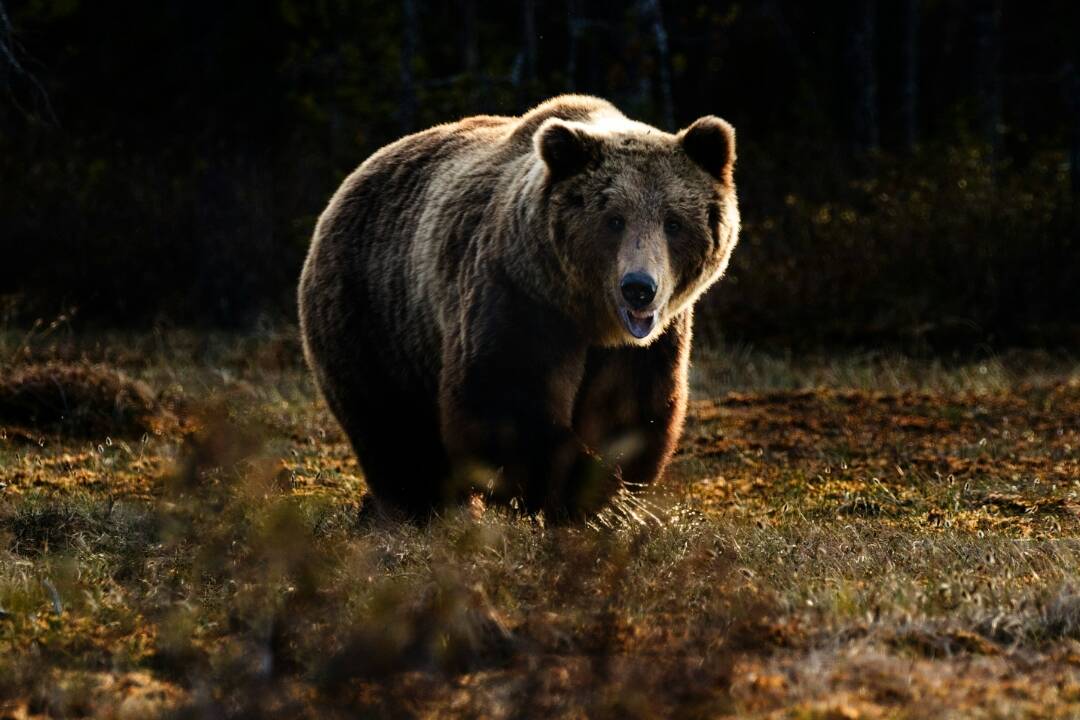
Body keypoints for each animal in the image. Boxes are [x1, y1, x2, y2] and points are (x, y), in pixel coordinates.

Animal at [300, 95, 738, 520]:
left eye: (673, 222)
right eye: (614, 219)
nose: (639, 289)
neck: (588, 315)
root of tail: (349, 181)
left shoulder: (649, 343)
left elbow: (630, 410)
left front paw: (609, 497)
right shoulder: (518, 297)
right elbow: (504, 401)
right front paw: (578, 491)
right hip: (374, 313)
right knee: (393, 426)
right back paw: (420, 507)